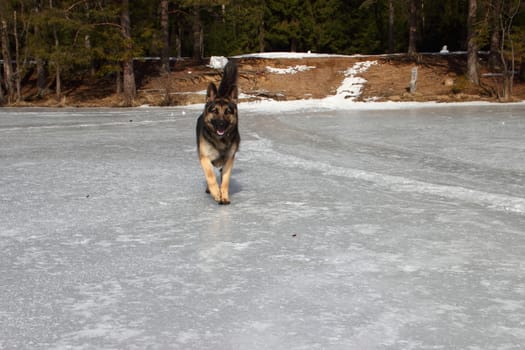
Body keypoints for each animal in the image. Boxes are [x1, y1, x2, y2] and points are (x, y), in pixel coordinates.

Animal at [195, 60, 238, 204]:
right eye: (214, 111)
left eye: (227, 112)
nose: (221, 124)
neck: (220, 140)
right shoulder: (204, 158)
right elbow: (210, 176)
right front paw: (215, 192)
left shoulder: (229, 160)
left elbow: (225, 181)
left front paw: (224, 196)